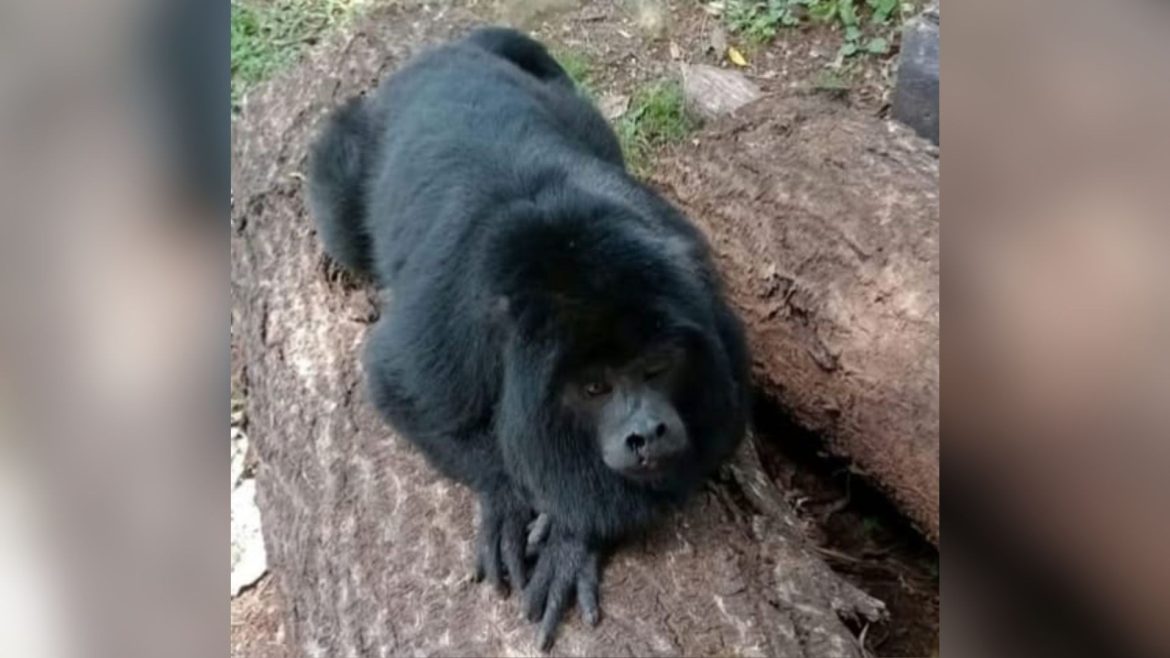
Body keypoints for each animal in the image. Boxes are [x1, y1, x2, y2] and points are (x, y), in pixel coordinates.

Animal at [307, 26, 749, 650]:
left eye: (658, 365)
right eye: (594, 388)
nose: (647, 431)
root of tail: (445, 52)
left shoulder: (704, 301)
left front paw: (573, 535)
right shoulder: (451, 326)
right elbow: (398, 389)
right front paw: (510, 500)